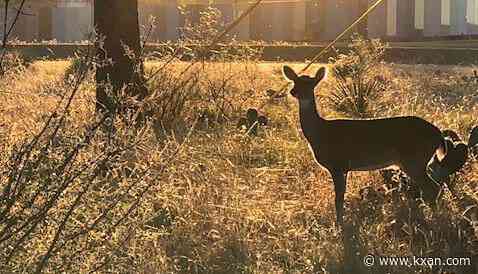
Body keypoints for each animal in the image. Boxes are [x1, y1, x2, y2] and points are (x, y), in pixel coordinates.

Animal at [284, 66, 464, 227]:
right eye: (295, 81)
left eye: (311, 83)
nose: (294, 91)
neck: (320, 133)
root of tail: (438, 134)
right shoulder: (344, 168)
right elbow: (341, 195)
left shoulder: (338, 164)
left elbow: (338, 198)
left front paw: (339, 225)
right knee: (434, 187)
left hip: (414, 160)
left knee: (433, 187)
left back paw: (435, 219)